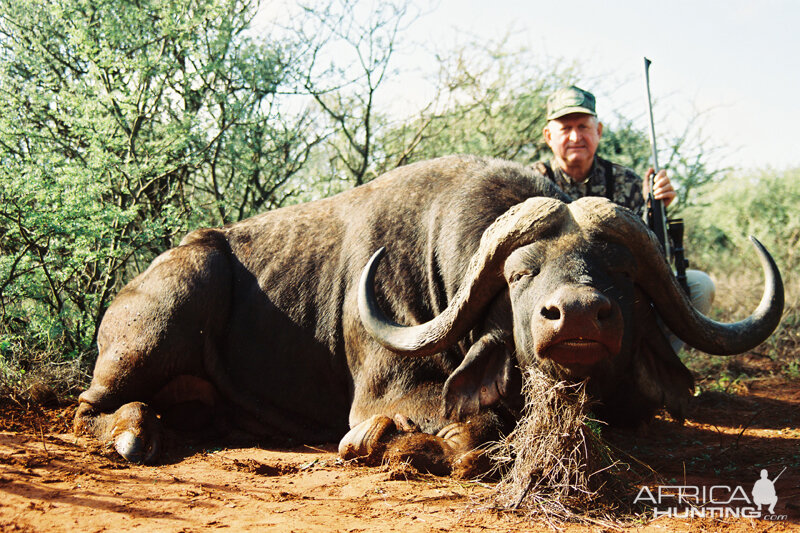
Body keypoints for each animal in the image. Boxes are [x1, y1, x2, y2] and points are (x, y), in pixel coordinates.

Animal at [75, 154, 780, 474]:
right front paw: (384, 443)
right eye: (520, 275)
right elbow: (473, 429)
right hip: (163, 314)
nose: (578, 316)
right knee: (88, 409)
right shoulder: (389, 393)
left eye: (623, 276)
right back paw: (133, 433)